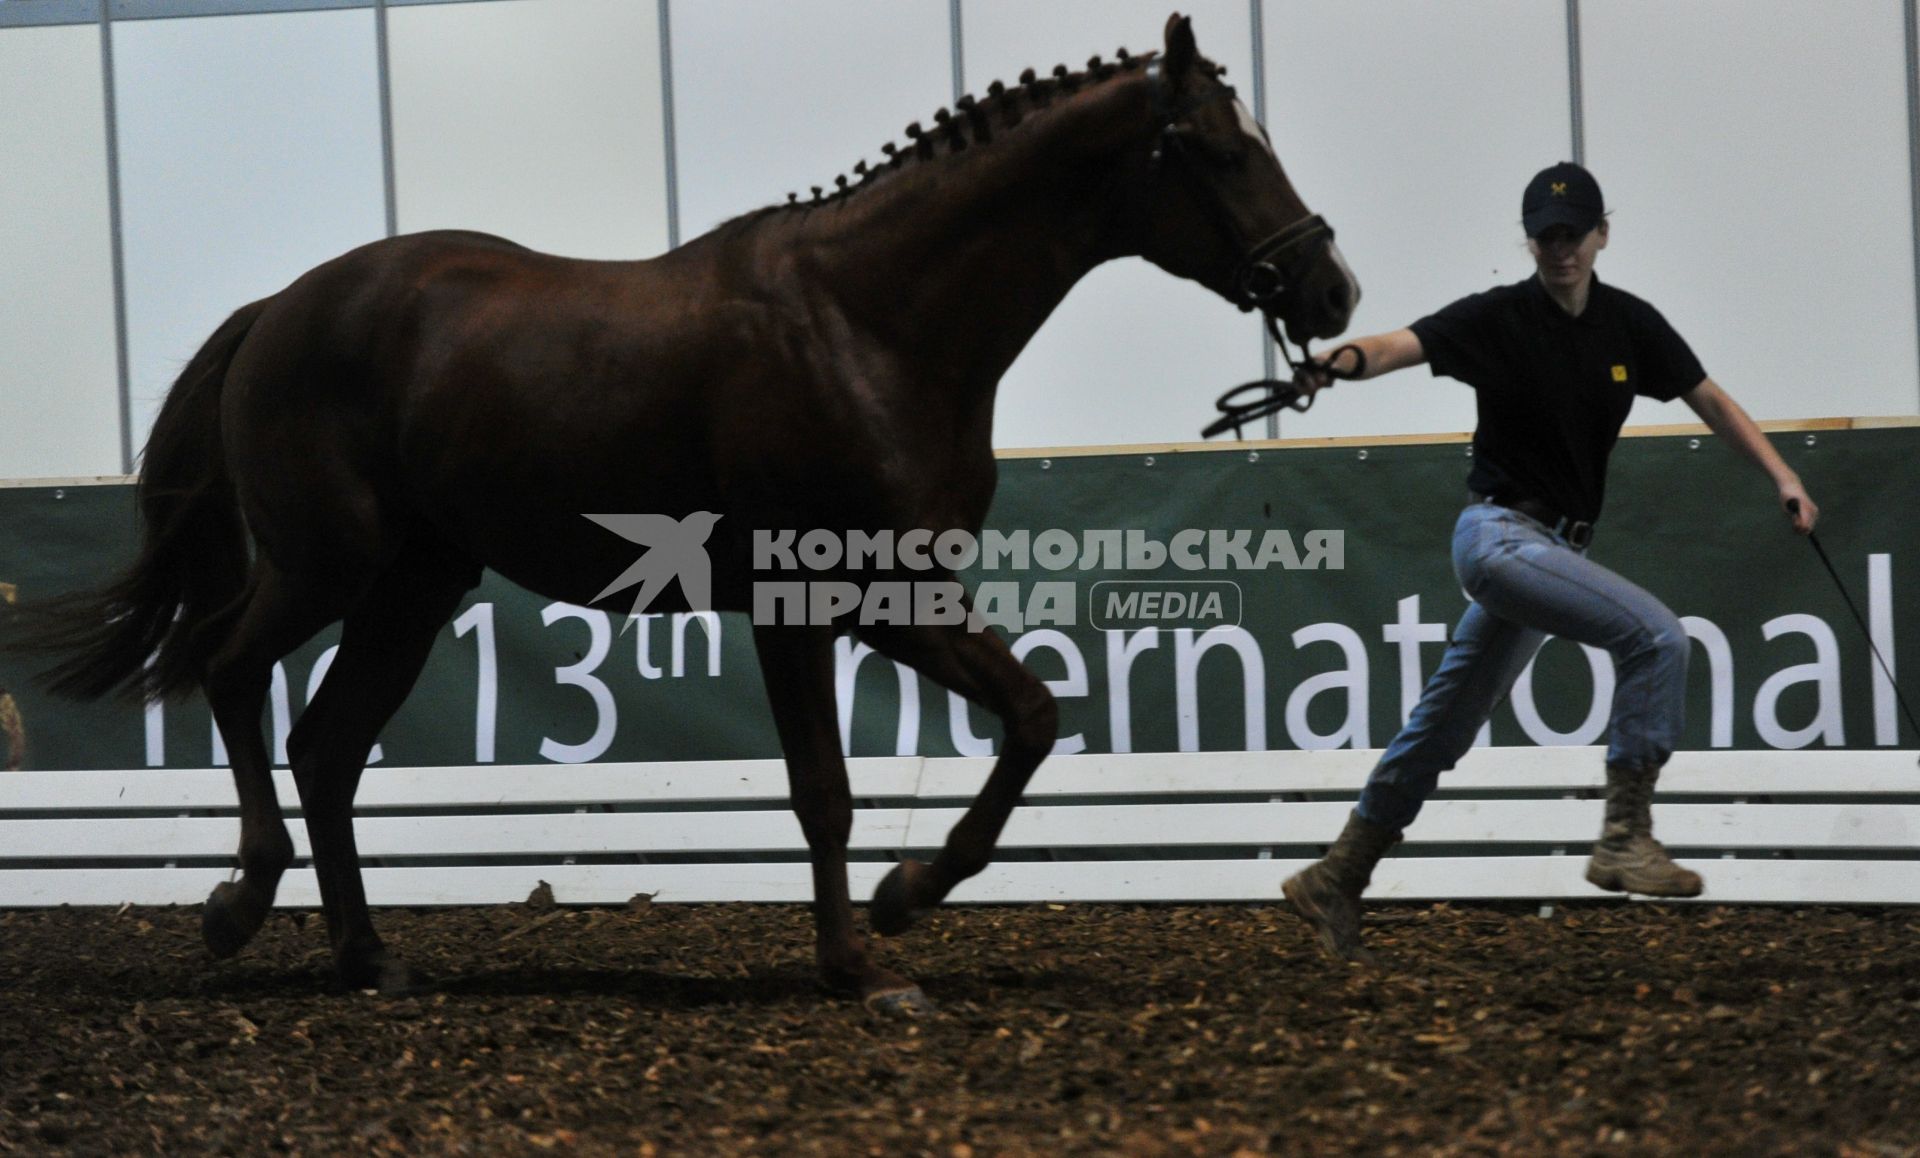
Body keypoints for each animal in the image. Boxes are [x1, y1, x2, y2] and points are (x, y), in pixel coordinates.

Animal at [26, 15, 1351, 1013]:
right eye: (1218, 150)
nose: (1330, 288)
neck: (871, 324)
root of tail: (281, 308)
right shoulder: (802, 607)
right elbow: (830, 785)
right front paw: (866, 958)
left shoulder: (893, 597)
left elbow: (1026, 717)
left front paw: (900, 903)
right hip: (326, 565)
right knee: (231, 671)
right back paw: (237, 905)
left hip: (412, 589)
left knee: (327, 745)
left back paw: (369, 958)